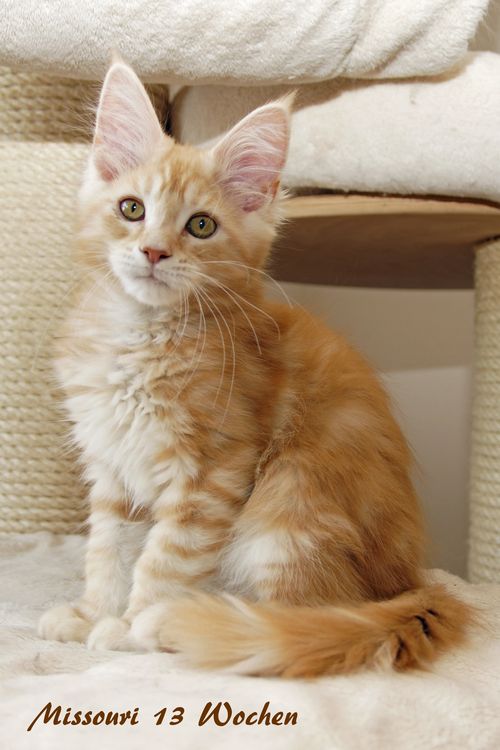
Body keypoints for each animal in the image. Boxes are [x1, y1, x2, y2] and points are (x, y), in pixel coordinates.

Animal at [38, 61, 468, 680]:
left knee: (303, 619)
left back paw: (189, 625)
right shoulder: (113, 466)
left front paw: (129, 625)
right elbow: (108, 548)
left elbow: (164, 557)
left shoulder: (213, 469)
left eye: (199, 226)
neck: (141, 335)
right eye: (131, 209)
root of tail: (409, 585)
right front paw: (92, 612)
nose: (154, 253)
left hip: (290, 499)